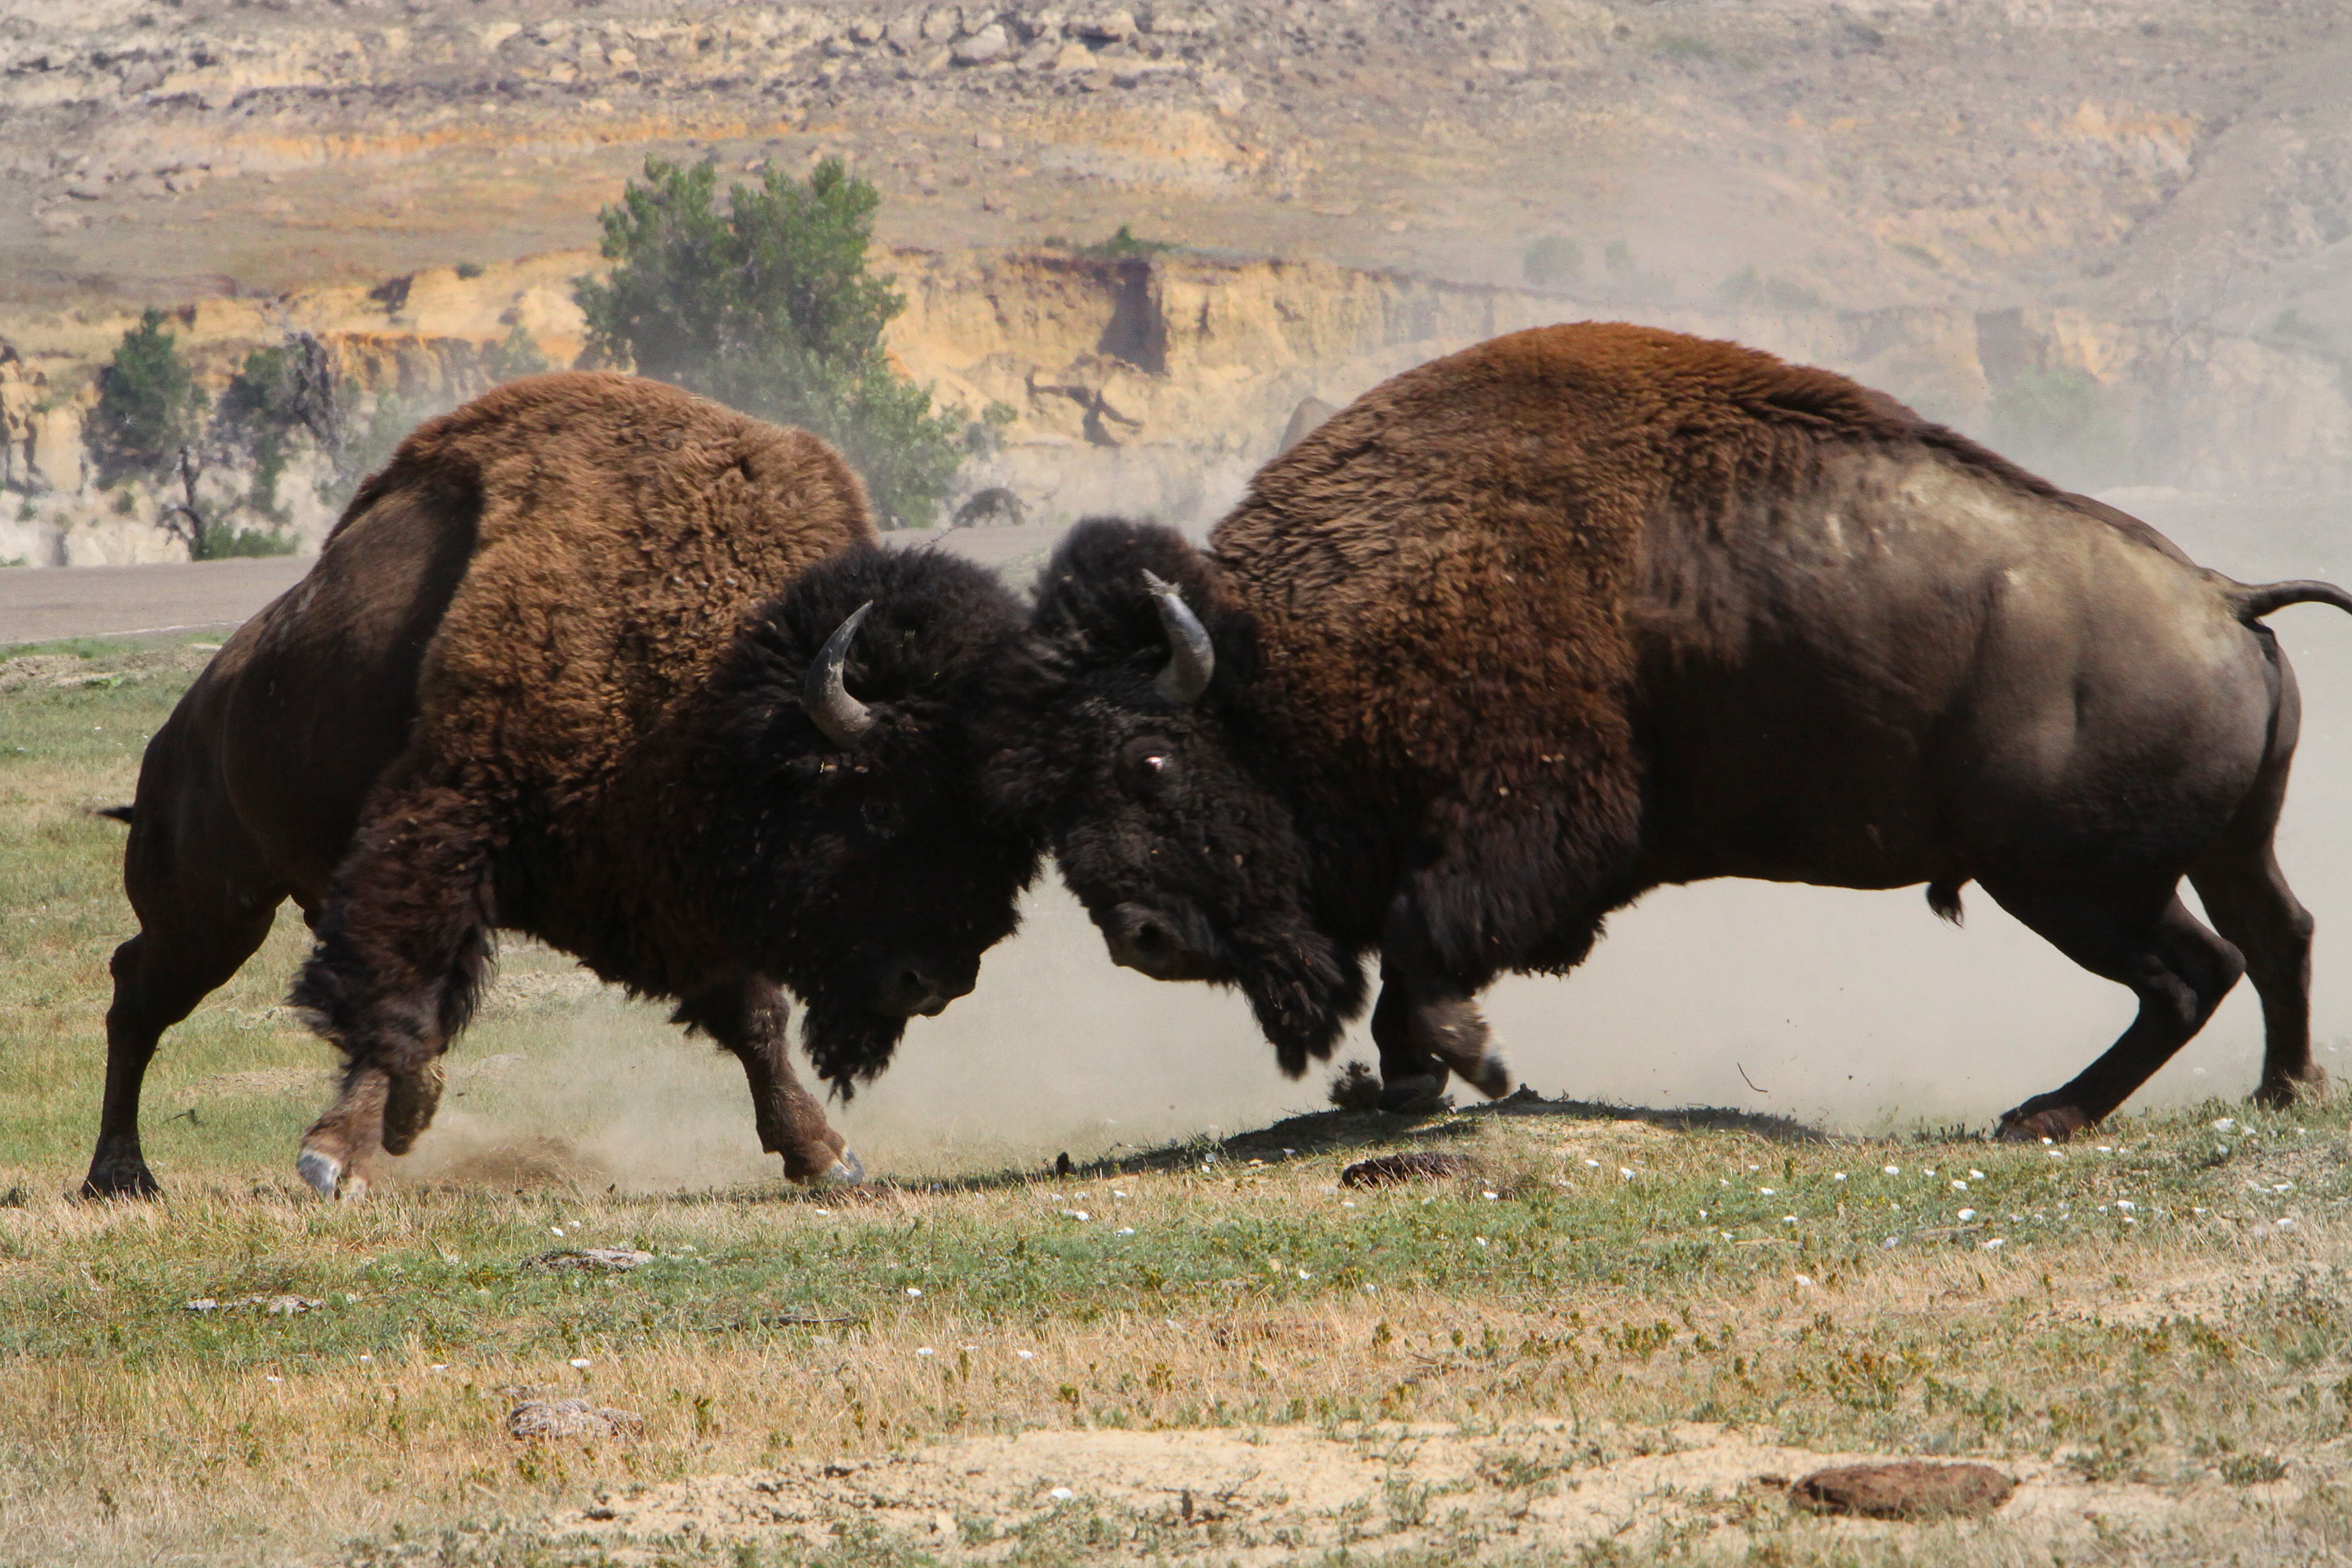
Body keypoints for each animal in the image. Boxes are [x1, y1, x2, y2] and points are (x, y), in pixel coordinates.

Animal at [94, 371, 1030, 1204]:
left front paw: (824, 1155)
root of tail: (194, 711)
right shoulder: (443, 823)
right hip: (215, 907)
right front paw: (338, 1156)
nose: (936, 981)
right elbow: (398, 990)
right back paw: (120, 1176)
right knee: (138, 992)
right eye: (878, 802)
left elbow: (753, 1019)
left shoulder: (671, 884)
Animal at [992, 324, 2352, 1133]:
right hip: (2205, 853)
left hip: (2073, 882)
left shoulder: (1520, 835)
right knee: (2270, 938)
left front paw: (1471, 1064)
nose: (1142, 937)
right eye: (1052, 792)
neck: (1289, 651)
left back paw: (2049, 1114)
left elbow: (1427, 950)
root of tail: (2223, 596)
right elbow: (1409, 966)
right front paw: (1417, 1081)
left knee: (2195, 971)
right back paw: (2281, 1092)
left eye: (1149, 759)